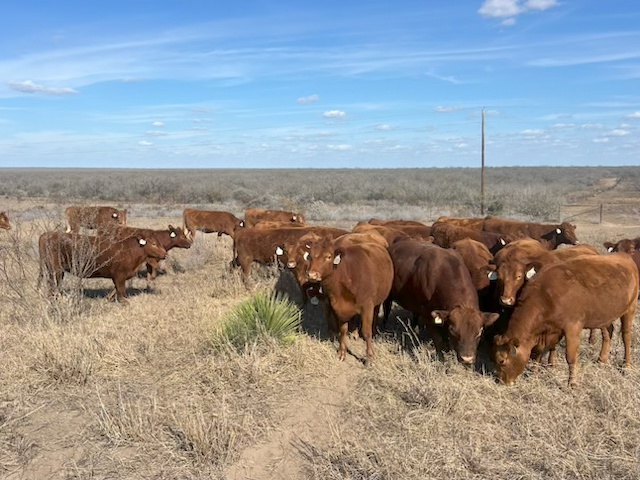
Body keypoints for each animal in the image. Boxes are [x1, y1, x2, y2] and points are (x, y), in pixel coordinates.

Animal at [39, 231, 167, 303]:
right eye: (154, 244)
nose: (165, 254)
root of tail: (47, 234)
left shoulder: (119, 276)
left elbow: (115, 289)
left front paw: (107, 299)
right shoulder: (120, 275)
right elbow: (121, 291)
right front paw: (125, 303)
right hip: (55, 269)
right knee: (52, 284)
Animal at [301, 234, 394, 364]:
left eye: (328, 256)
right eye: (310, 256)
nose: (312, 275)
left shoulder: (367, 306)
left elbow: (366, 332)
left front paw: (370, 357)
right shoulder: (339, 307)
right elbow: (343, 330)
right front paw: (342, 353)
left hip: (378, 301)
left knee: (375, 313)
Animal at [493, 253, 638, 386]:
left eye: (501, 361)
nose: (500, 381)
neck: (545, 295)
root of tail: (624, 256)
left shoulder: (573, 327)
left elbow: (570, 357)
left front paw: (572, 383)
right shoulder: (550, 330)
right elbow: (539, 350)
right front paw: (534, 374)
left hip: (630, 308)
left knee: (626, 336)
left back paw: (627, 365)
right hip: (604, 315)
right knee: (608, 332)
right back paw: (601, 360)